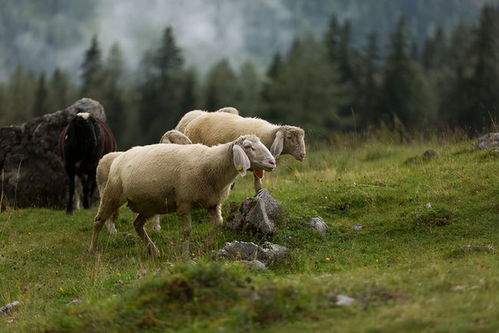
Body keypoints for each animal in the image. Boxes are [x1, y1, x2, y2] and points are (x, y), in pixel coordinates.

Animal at [90, 134, 278, 256]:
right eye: (248, 147)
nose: (272, 162)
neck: (212, 166)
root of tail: (119, 157)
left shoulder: (213, 203)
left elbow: (219, 223)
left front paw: (203, 247)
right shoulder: (184, 203)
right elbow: (187, 231)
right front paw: (186, 256)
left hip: (149, 205)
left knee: (137, 225)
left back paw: (153, 250)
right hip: (112, 193)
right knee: (99, 221)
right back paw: (92, 250)